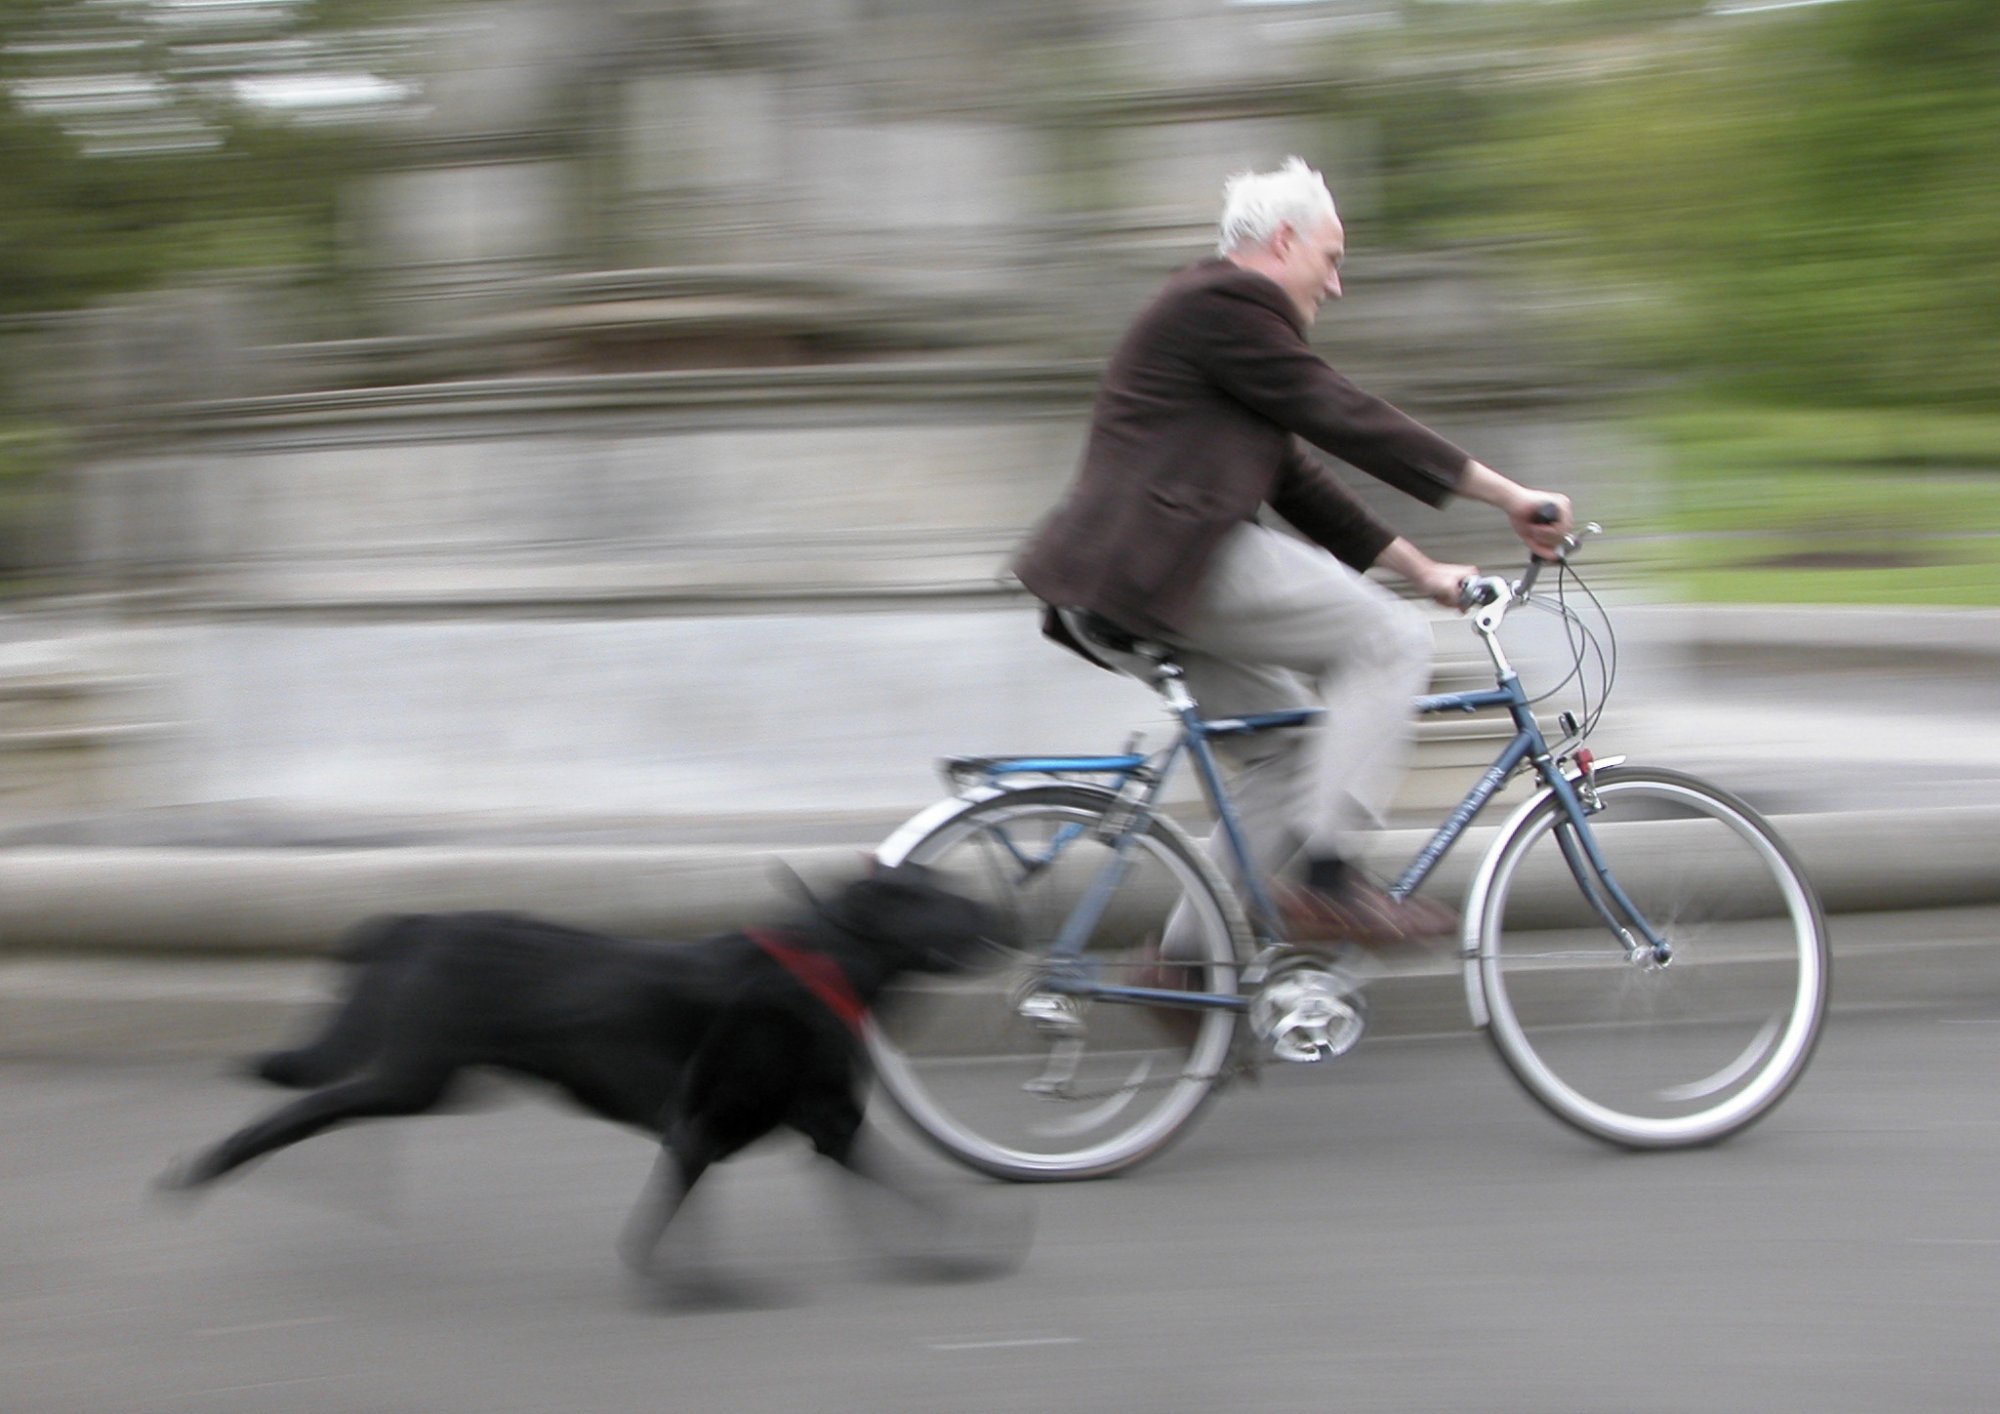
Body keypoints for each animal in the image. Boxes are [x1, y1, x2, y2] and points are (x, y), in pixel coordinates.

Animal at [158, 864, 1000, 1280]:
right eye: (932, 899)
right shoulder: (704, 1124)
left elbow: (903, 1190)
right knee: (302, 1112)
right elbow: (675, 1211)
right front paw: (688, 1285)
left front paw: (947, 1254)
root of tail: (417, 922)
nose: (1005, 916)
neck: (821, 966)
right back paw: (203, 1170)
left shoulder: (825, 1125)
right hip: (413, 1079)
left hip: (426, 1083)